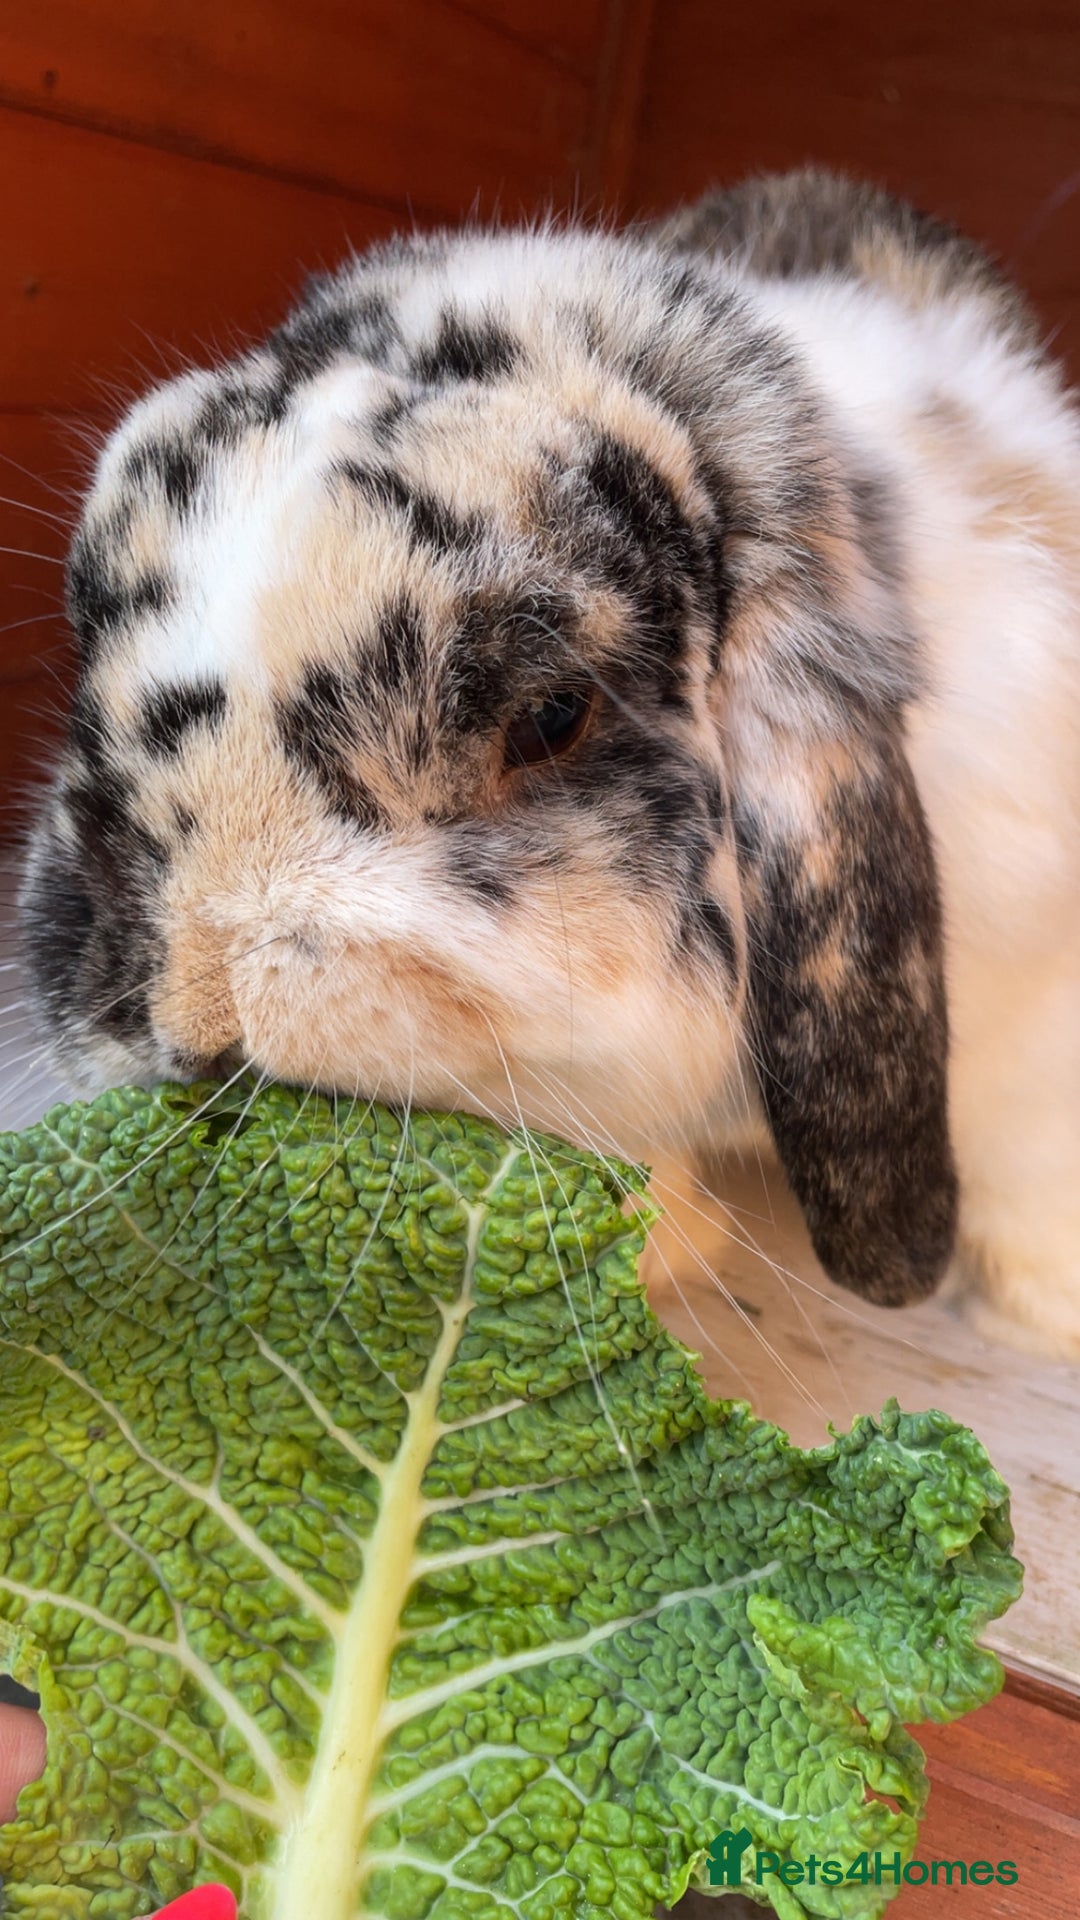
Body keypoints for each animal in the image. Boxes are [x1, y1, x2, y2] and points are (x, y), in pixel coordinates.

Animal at [16, 168, 1080, 1356]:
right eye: (84, 633)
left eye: (552, 715)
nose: (199, 1009)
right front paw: (666, 1249)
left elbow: (1035, 1150)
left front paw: (1046, 1313)